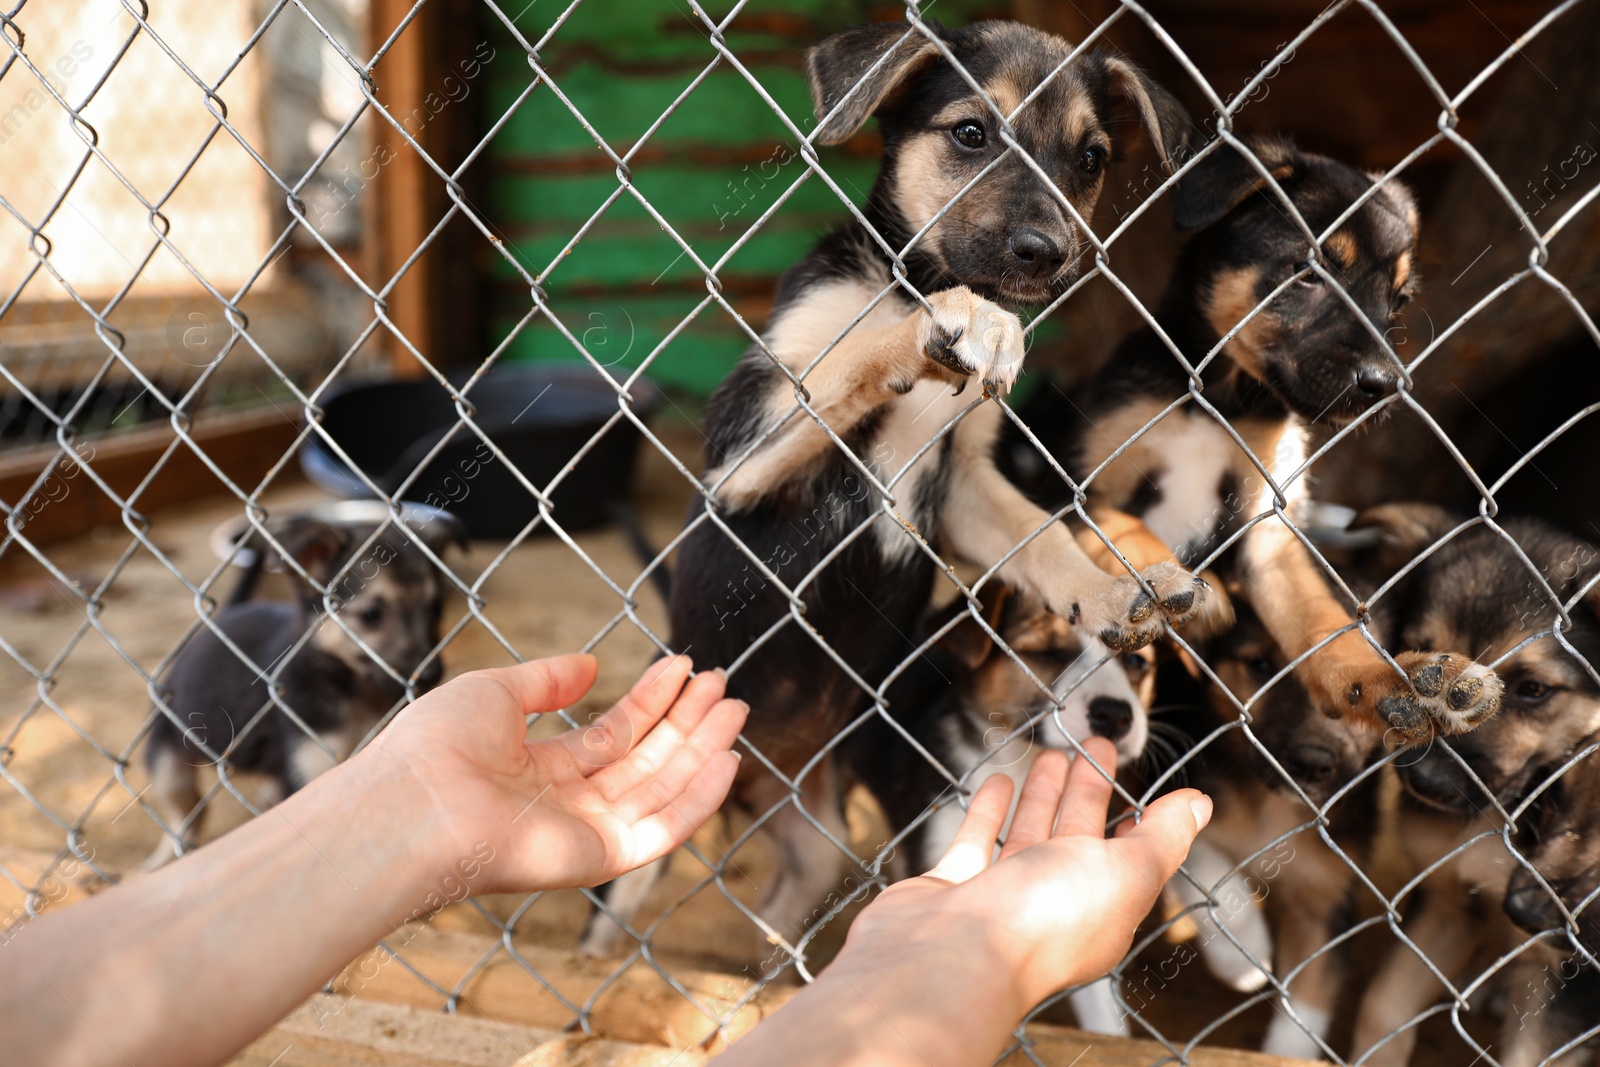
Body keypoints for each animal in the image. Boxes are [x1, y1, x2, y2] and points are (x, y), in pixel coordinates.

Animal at [576, 16, 1203, 966]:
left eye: (1091, 157)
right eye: (971, 133)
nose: (1046, 254)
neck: (920, 274)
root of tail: (753, 769)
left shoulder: (968, 483)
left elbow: (1043, 535)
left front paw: (1110, 590)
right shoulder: (743, 463)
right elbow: (852, 361)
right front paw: (957, 324)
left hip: (818, 828)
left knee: (788, 896)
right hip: (636, 845)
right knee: (605, 922)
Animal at [1344, 508, 1600, 1067]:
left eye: (1533, 690)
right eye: (1423, 665)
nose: (1425, 783)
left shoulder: (1567, 977)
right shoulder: (1450, 902)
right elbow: (1383, 1006)